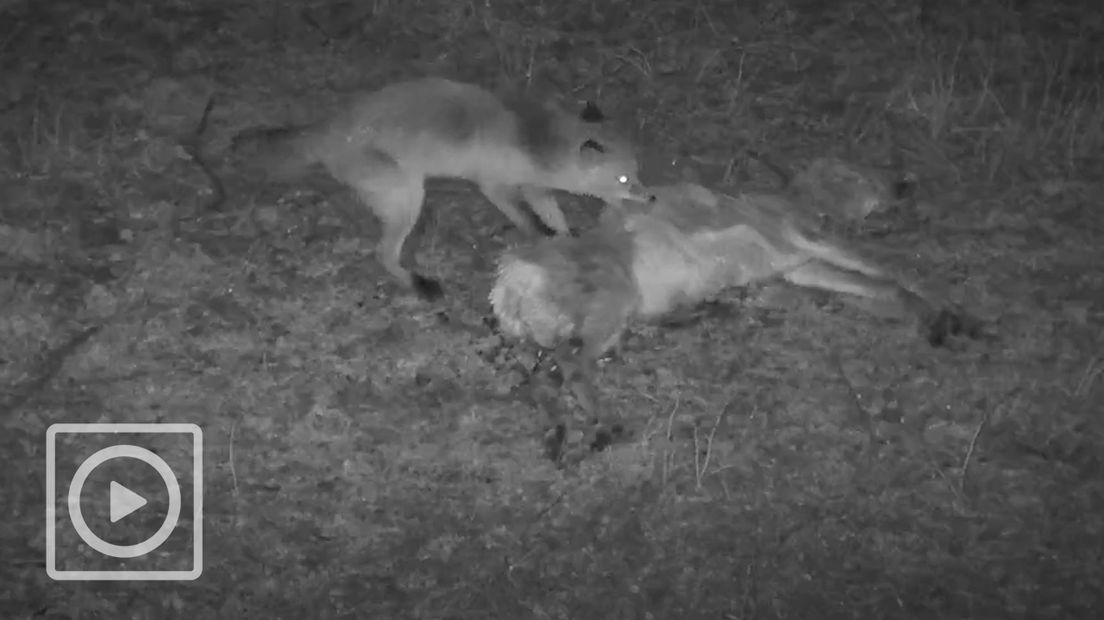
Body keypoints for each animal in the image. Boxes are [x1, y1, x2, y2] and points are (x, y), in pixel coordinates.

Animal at [231, 76, 644, 297]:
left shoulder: (534, 186)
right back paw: (418, 284)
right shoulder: (494, 184)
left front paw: (570, 240)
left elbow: (553, 215)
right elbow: (530, 221)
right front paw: (545, 238)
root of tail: (329, 127)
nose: (650, 195)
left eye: (637, 174)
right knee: (382, 253)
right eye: (625, 180)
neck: (528, 139)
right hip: (408, 195)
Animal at [492, 174, 984, 458]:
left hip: (538, 337)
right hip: (611, 308)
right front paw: (952, 317)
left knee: (539, 378)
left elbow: (882, 285)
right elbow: (894, 272)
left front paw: (936, 319)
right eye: (873, 178)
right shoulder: (807, 242)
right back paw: (604, 426)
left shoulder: (798, 265)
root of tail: (509, 283)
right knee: (571, 364)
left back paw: (560, 435)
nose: (906, 185)